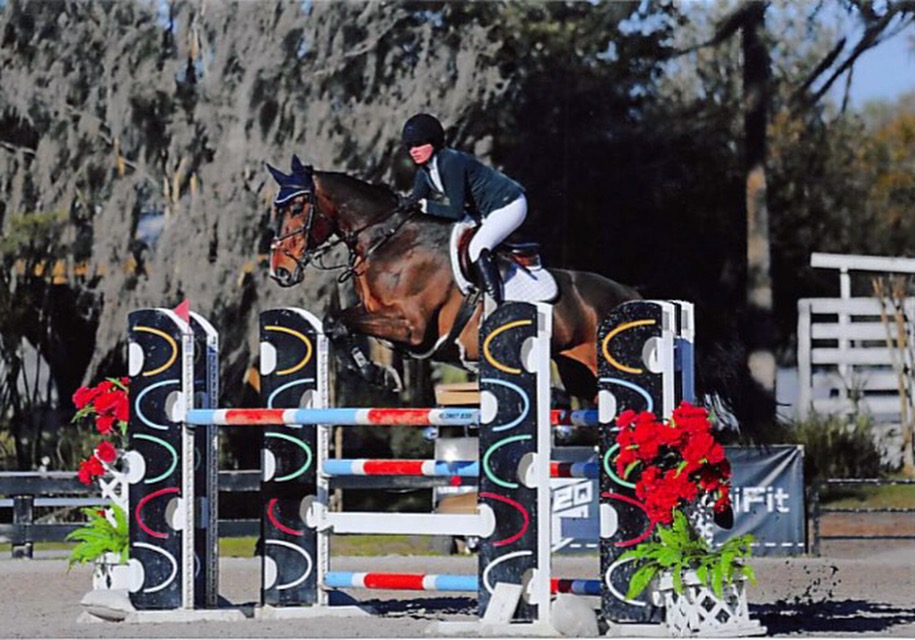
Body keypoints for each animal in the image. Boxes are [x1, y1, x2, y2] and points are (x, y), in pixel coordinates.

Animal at [265, 154, 642, 403]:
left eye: (297, 208)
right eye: (277, 209)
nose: (279, 271)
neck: (385, 240)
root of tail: (629, 293)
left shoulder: (412, 327)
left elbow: (340, 322)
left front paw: (373, 372)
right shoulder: (378, 316)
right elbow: (336, 323)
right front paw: (374, 372)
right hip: (578, 372)